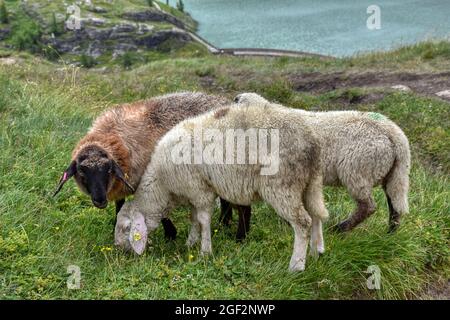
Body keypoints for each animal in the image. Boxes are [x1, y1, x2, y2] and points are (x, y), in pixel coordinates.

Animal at [52, 91, 246, 239]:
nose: (99, 200)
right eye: (82, 172)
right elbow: (119, 207)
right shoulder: (123, 184)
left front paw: (170, 234)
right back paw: (224, 223)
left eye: (107, 170)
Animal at [114, 101, 328, 272]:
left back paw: (296, 265)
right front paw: (191, 242)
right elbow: (193, 218)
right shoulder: (194, 192)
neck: (163, 185)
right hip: (310, 183)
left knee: (303, 222)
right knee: (315, 215)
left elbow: (203, 220)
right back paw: (315, 253)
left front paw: (205, 251)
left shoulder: (200, 190)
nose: (117, 248)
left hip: (283, 186)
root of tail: (312, 142)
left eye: (126, 228)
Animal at [229, 91, 412, 234]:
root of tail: (395, 133)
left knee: (368, 206)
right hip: (394, 172)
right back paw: (391, 232)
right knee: (394, 201)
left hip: (357, 168)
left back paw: (340, 228)